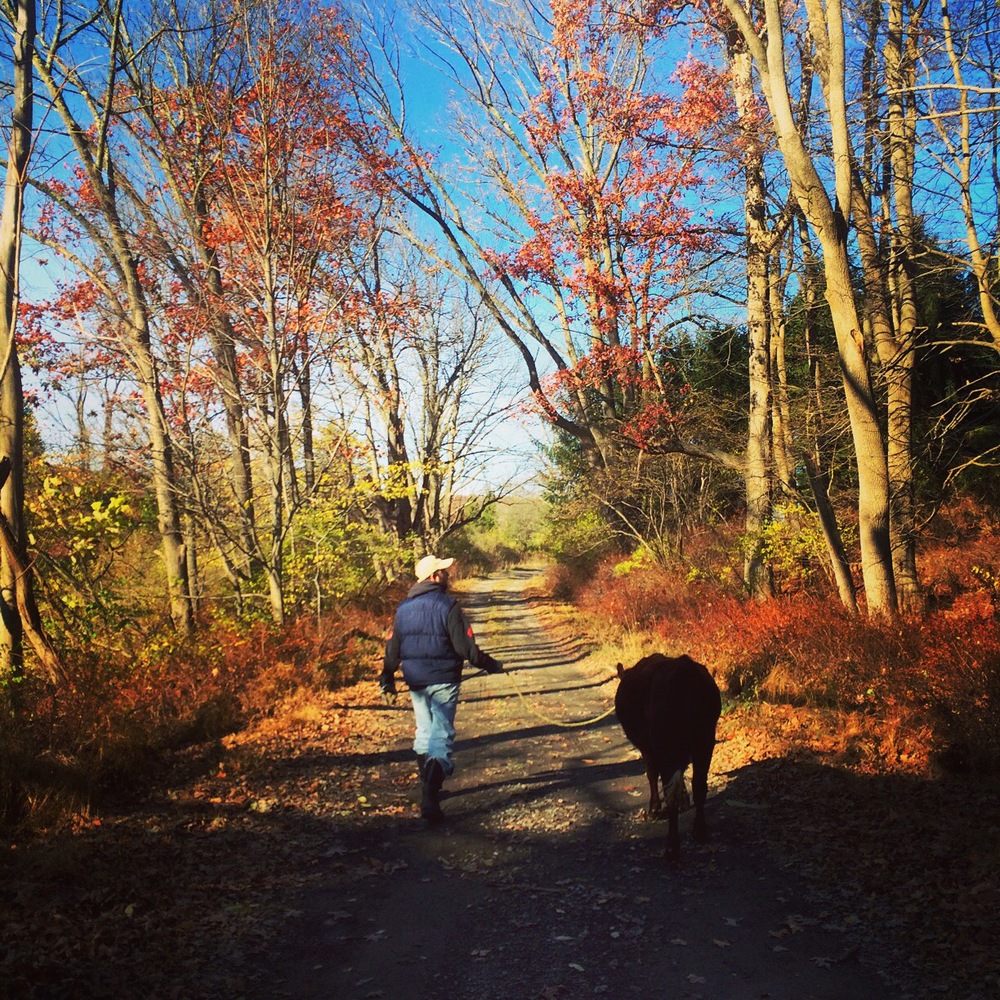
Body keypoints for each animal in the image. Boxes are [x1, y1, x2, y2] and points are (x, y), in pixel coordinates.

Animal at [612, 652, 724, 864]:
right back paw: (699, 830)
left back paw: (672, 849)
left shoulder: (649, 748)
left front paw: (654, 809)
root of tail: (686, 671)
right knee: (699, 785)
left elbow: (651, 774)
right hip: (705, 740)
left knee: (670, 789)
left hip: (668, 745)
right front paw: (685, 801)